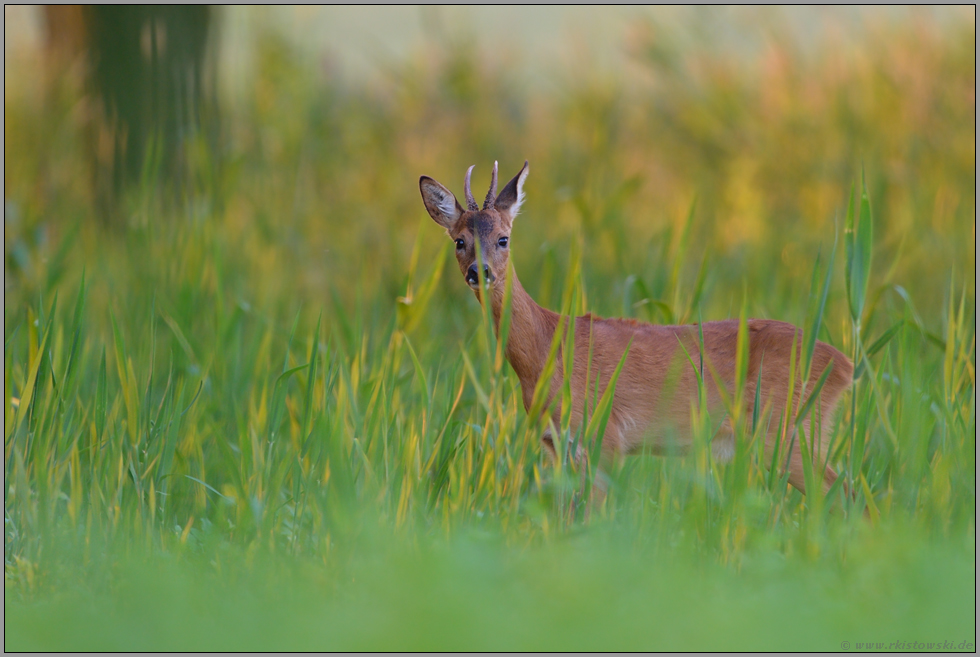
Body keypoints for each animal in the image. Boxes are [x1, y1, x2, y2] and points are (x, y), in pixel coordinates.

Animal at [418, 161, 852, 500]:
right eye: (460, 241)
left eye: (503, 238)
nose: (479, 272)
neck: (546, 353)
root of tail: (846, 365)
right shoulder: (558, 446)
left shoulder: (606, 437)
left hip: (787, 429)